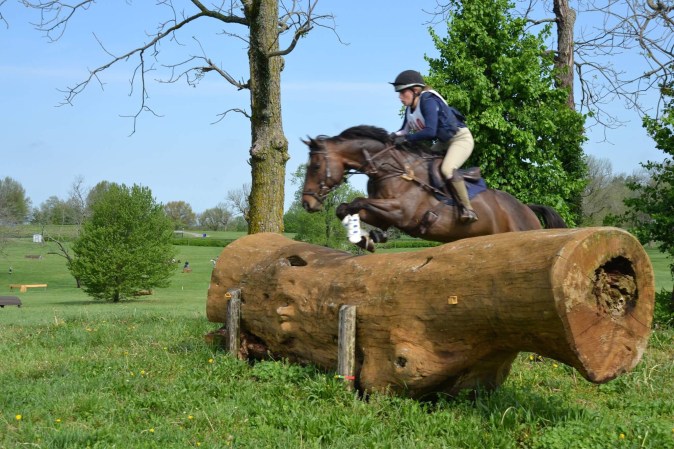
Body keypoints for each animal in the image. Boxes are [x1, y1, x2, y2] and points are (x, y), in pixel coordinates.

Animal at [301, 125, 567, 251]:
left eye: (315, 166)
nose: (307, 203)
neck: (390, 169)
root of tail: (527, 209)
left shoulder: (401, 211)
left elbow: (356, 202)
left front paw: (368, 237)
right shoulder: (384, 214)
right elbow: (345, 208)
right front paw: (367, 238)